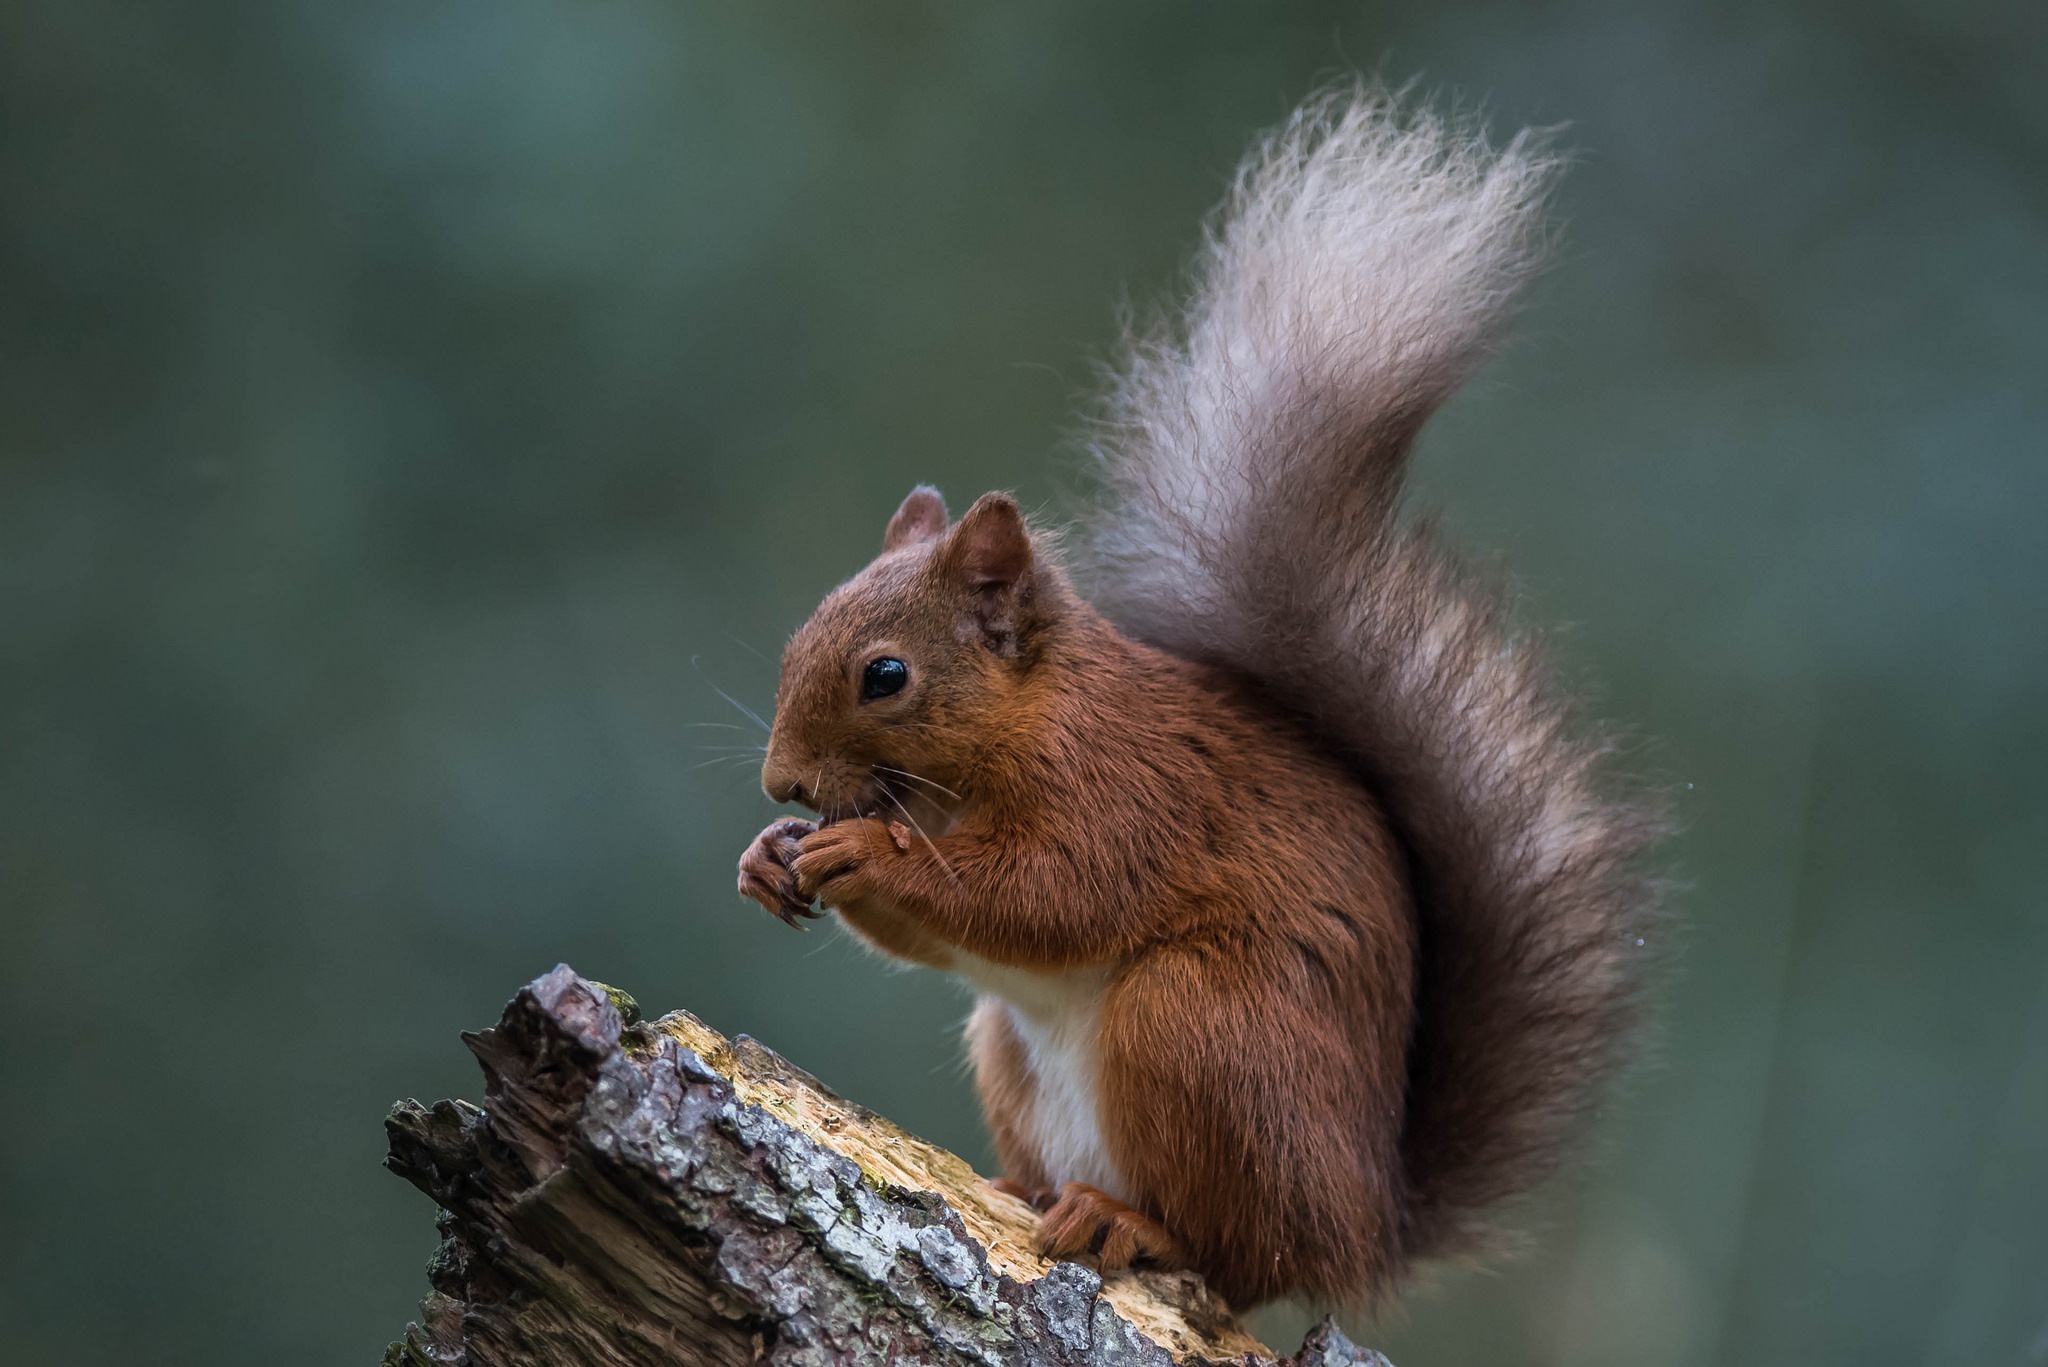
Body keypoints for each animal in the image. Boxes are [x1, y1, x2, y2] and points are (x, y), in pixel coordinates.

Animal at [729, 88, 1654, 1311]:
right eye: (800, 637)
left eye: (886, 676)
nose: (780, 782)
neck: (996, 748)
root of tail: (1369, 1222)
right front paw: (769, 855)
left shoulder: (1127, 790)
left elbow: (1045, 895)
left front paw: (859, 851)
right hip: (1018, 1046)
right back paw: (1027, 1189)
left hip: (1199, 1023)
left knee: (1242, 1253)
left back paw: (1130, 1222)